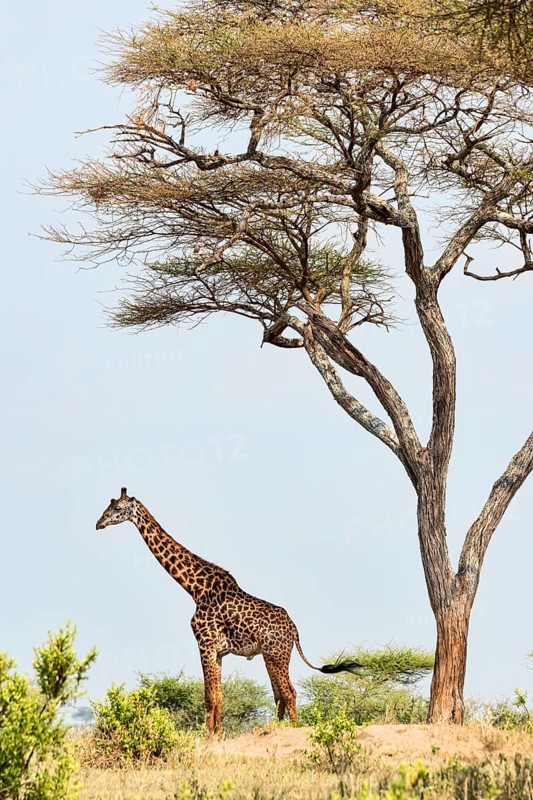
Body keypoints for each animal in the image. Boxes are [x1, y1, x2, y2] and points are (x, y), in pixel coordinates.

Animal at [96, 488, 362, 735]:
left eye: (117, 508)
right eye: (108, 505)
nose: (99, 523)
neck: (195, 589)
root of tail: (295, 630)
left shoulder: (205, 645)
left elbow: (209, 696)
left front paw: (209, 738)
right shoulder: (219, 652)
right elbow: (219, 696)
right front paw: (218, 735)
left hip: (277, 654)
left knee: (289, 692)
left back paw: (294, 730)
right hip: (271, 656)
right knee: (279, 694)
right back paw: (277, 728)